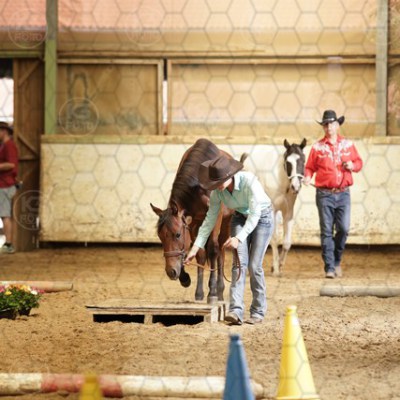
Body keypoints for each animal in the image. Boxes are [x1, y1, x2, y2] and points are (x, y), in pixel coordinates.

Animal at [150, 138, 232, 303]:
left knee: (220, 251)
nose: (170, 271)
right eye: (160, 237)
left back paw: (219, 291)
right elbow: (198, 252)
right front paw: (193, 286)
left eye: (177, 234)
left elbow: (213, 250)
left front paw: (212, 292)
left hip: (225, 223)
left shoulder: (216, 217)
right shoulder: (193, 221)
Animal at [240, 138, 307, 276]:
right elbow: (274, 239)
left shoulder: (288, 212)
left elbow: (286, 243)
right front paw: (275, 269)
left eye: (303, 160)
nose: (295, 186)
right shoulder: (273, 211)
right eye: (288, 162)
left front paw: (280, 266)